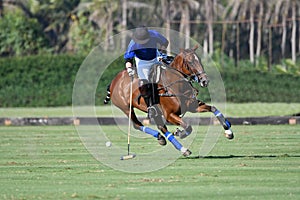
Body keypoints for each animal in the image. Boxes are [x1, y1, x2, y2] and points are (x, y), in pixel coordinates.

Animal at [104, 45, 233, 156]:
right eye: (190, 61)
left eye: (199, 60)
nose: (205, 80)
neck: (177, 85)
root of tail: (114, 81)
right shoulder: (170, 114)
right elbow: (188, 127)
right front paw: (179, 133)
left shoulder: (193, 106)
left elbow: (214, 109)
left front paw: (228, 131)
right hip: (127, 108)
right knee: (137, 124)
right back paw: (177, 145)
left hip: (155, 112)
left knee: (161, 127)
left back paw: (166, 141)